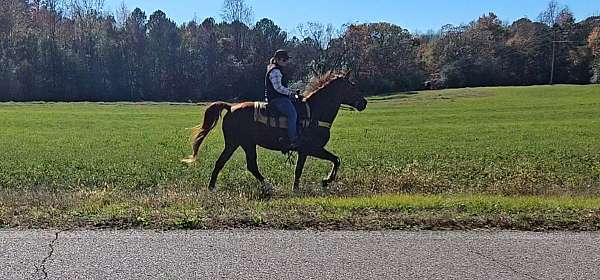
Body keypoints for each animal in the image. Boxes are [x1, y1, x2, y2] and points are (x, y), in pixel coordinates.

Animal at [183, 71, 368, 196]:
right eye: (352, 86)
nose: (364, 103)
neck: (315, 112)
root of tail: (230, 107)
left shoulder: (304, 151)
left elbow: (300, 169)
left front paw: (297, 188)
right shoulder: (313, 148)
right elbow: (335, 160)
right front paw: (325, 181)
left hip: (243, 144)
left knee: (239, 164)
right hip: (237, 143)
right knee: (234, 164)